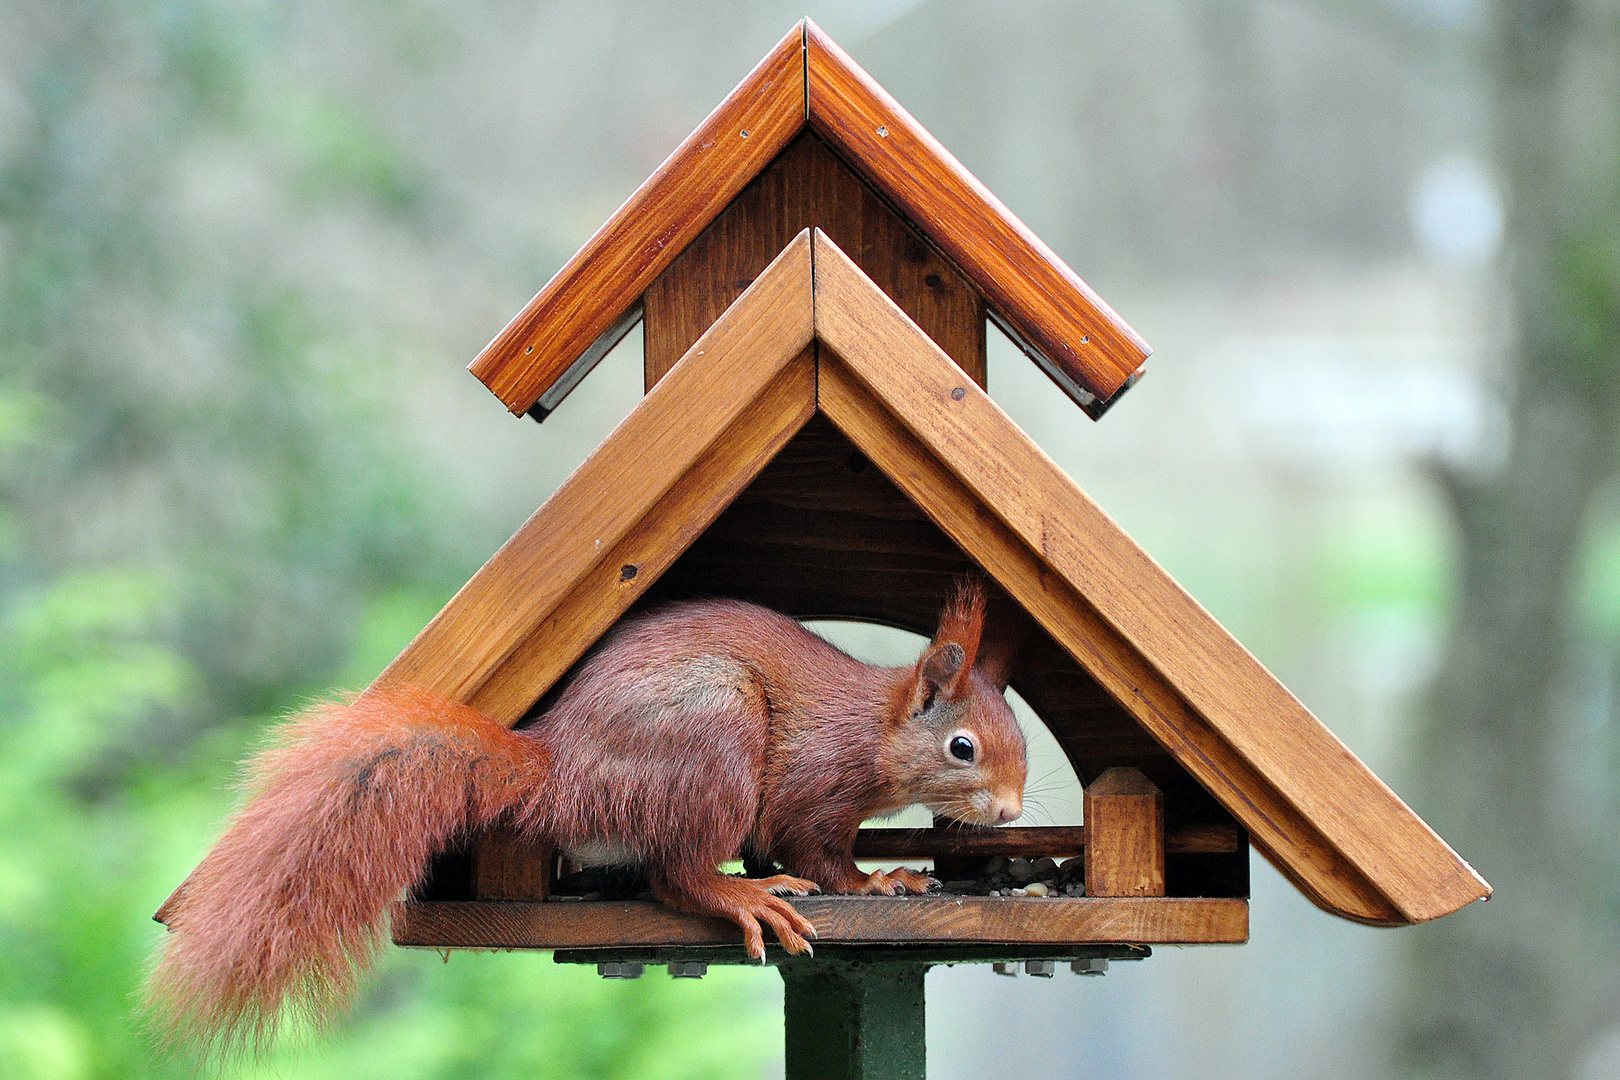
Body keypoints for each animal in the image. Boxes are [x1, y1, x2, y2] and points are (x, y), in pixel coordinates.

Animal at [142, 586, 1023, 1049]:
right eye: (963, 748)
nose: (1012, 812)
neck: (874, 727)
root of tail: (561, 772)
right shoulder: (814, 786)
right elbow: (820, 852)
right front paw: (885, 879)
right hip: (714, 740)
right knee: (676, 877)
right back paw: (745, 897)